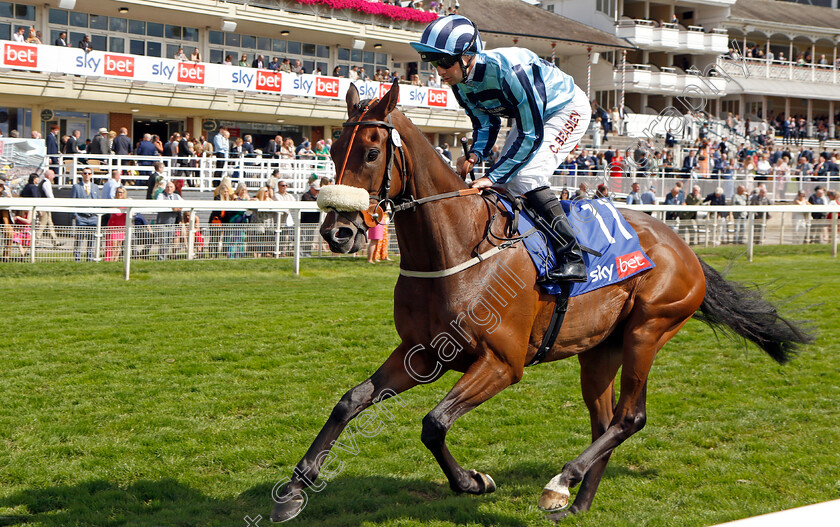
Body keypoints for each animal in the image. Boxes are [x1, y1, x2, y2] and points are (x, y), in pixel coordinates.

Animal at [272, 82, 812, 524]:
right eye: (332, 148)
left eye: (369, 152)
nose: (338, 232)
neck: (458, 248)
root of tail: (685, 248)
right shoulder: (422, 354)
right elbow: (350, 401)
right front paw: (294, 491)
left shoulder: (502, 362)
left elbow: (433, 423)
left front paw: (473, 481)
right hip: (599, 350)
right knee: (605, 420)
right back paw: (577, 503)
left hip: (648, 330)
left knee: (630, 418)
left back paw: (560, 483)